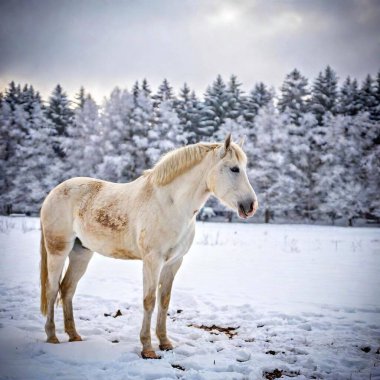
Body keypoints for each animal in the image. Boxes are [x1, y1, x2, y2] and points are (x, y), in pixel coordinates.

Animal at [40, 134, 256, 360]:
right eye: (234, 169)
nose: (250, 206)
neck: (170, 204)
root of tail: (54, 192)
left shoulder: (173, 262)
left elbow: (164, 301)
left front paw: (165, 342)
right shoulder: (152, 261)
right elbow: (149, 300)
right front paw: (148, 348)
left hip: (81, 253)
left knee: (67, 289)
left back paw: (74, 335)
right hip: (58, 251)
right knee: (52, 289)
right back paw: (52, 337)